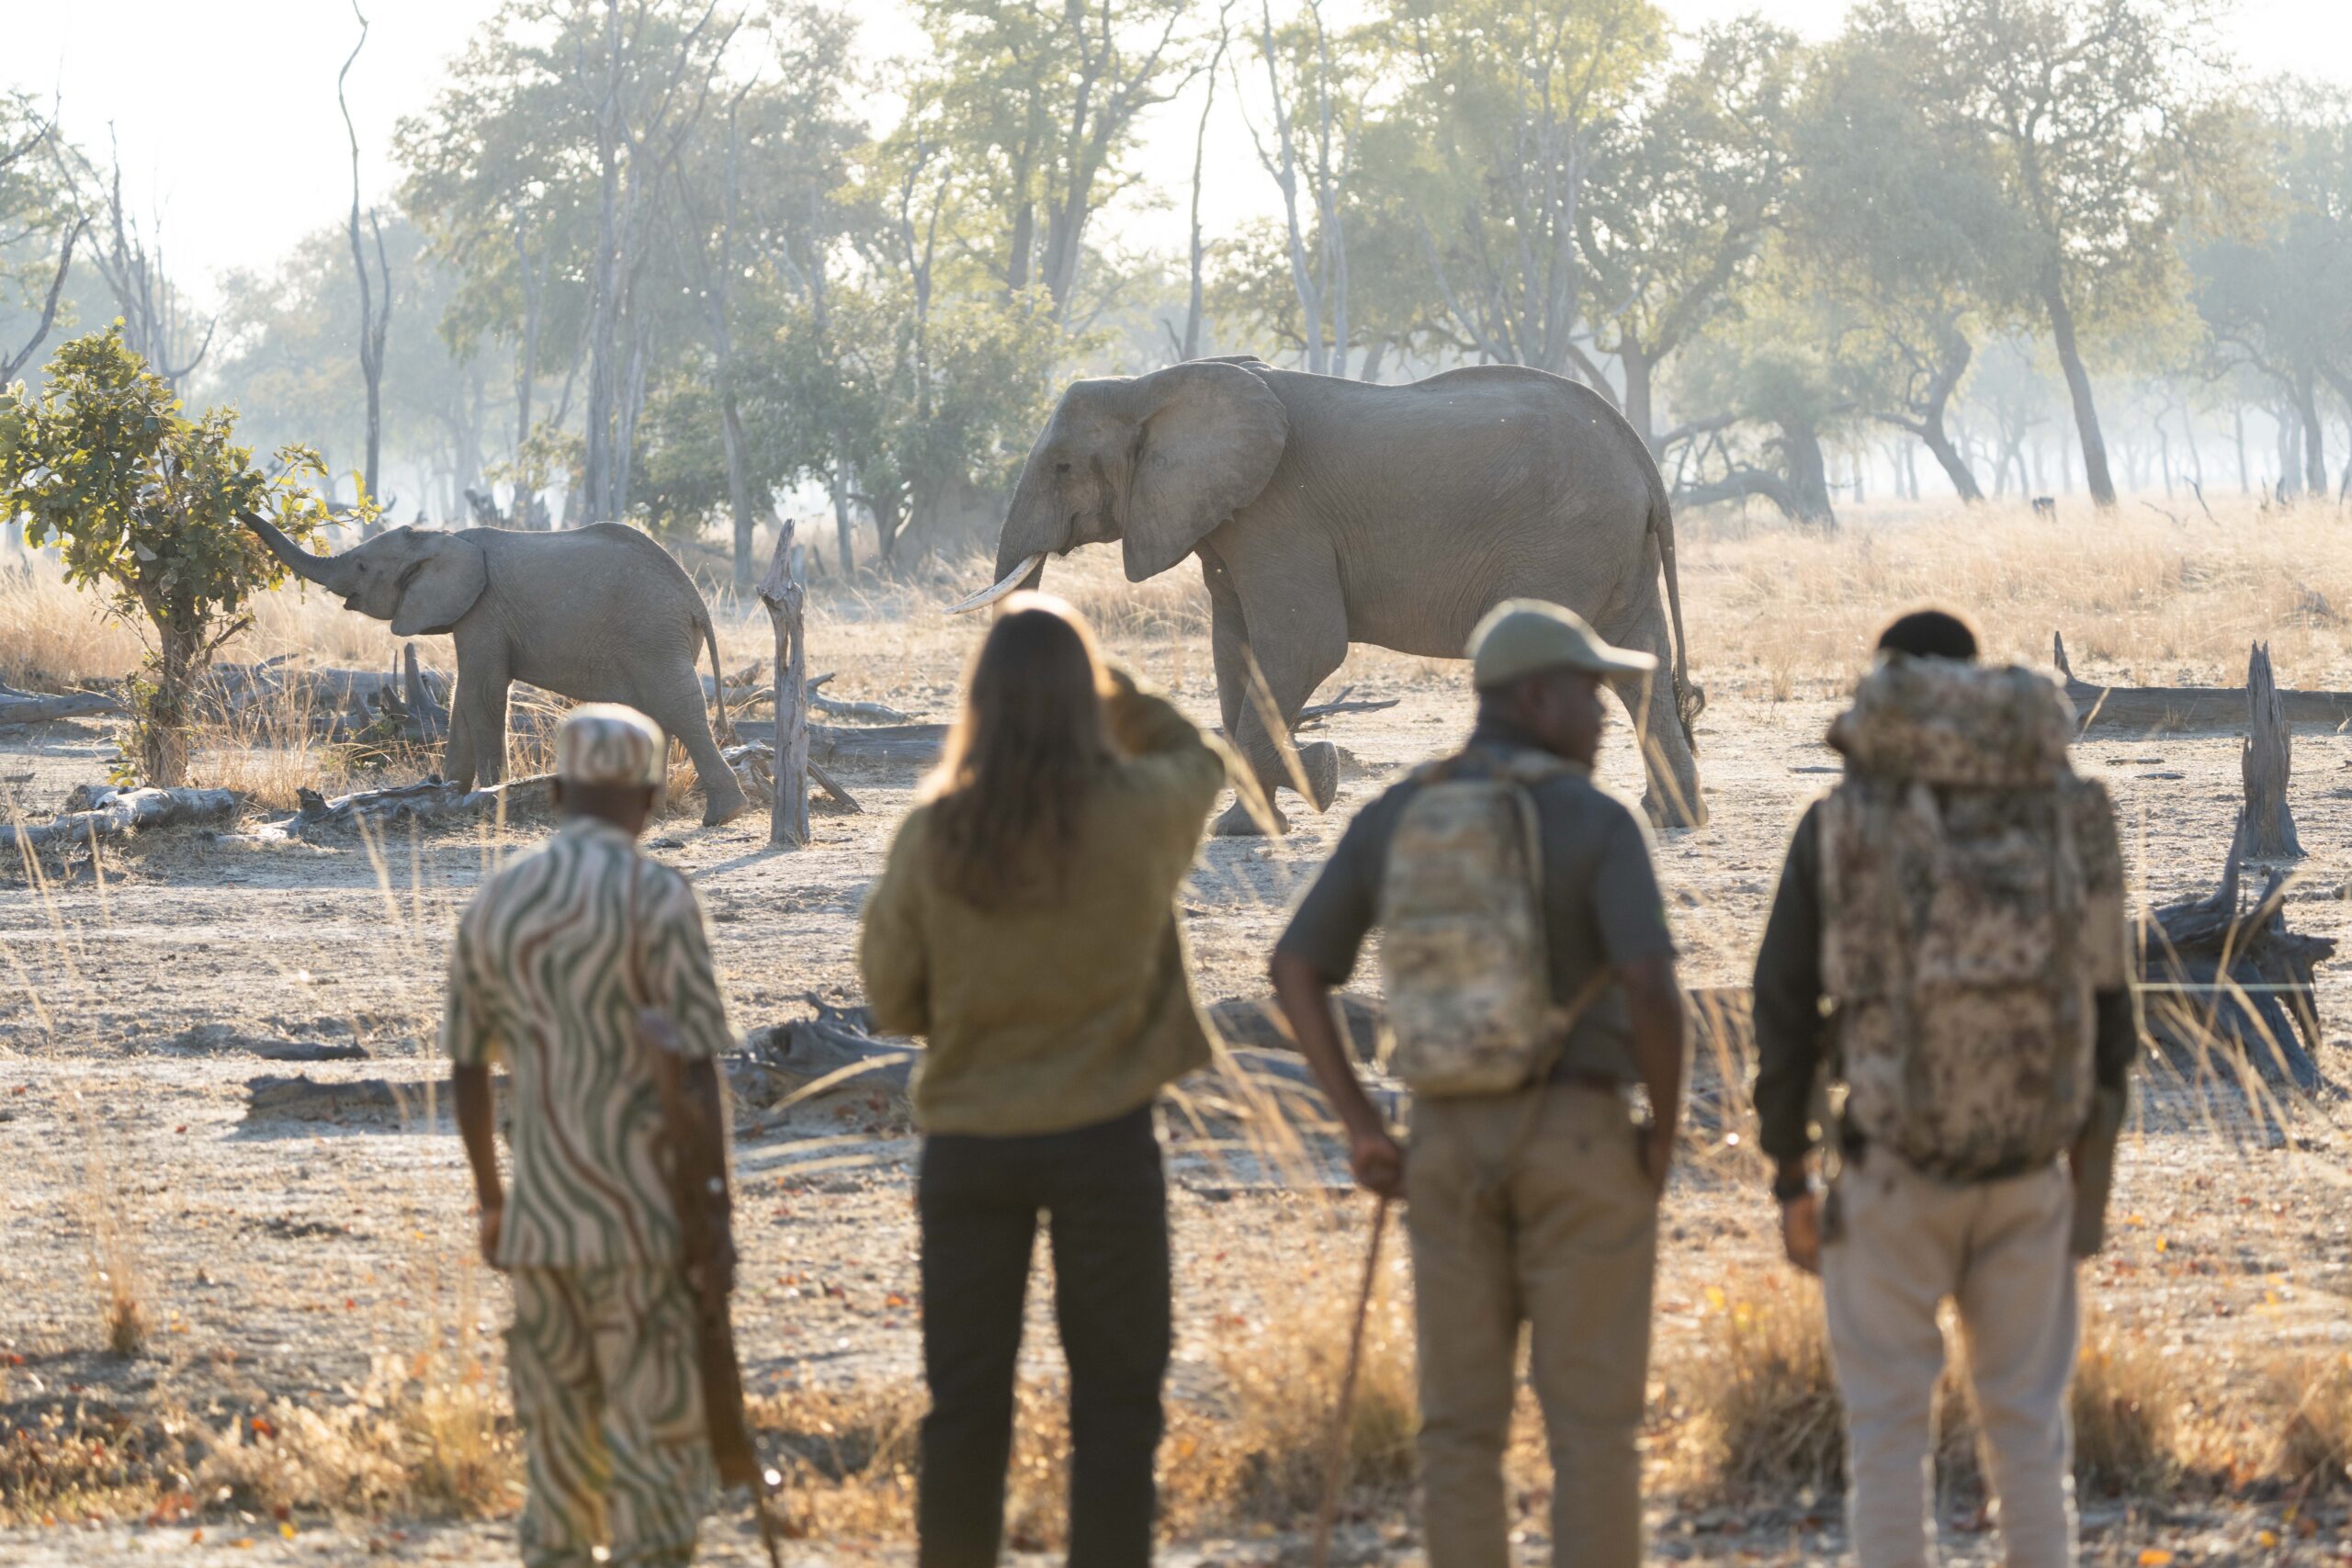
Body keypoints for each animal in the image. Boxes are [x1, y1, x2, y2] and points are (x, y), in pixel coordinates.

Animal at [241, 515, 750, 826]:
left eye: (363, 566)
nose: (243, 511)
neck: (439, 536)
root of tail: (697, 601)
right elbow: (464, 698)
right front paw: (445, 792)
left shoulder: (483, 612)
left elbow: (484, 692)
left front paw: (486, 798)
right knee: (656, 717)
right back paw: (653, 814)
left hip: (653, 636)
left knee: (680, 708)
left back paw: (723, 816)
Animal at [952, 357, 1706, 834]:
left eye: (1062, 467)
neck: (1152, 383)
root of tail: (1646, 462)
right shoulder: (1229, 523)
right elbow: (1235, 652)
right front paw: (1267, 813)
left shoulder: (1279, 515)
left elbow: (1304, 648)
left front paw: (1311, 782)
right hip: (1613, 552)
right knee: (1639, 663)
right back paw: (1671, 818)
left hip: (1567, 542)